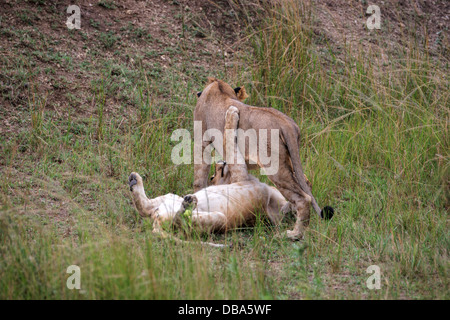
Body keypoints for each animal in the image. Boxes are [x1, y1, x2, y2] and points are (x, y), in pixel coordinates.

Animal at [127, 106, 302, 246]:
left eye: (212, 177)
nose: (219, 162)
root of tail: (157, 222)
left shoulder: (241, 174)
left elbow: (228, 143)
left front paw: (231, 114)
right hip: (171, 198)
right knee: (146, 207)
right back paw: (134, 180)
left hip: (219, 218)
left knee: (177, 219)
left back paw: (187, 204)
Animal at [194, 77, 334, 240]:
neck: (218, 86)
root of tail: (286, 124)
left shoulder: (201, 141)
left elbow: (199, 178)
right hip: (289, 161)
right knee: (305, 182)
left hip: (275, 167)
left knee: (303, 198)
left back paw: (294, 234)